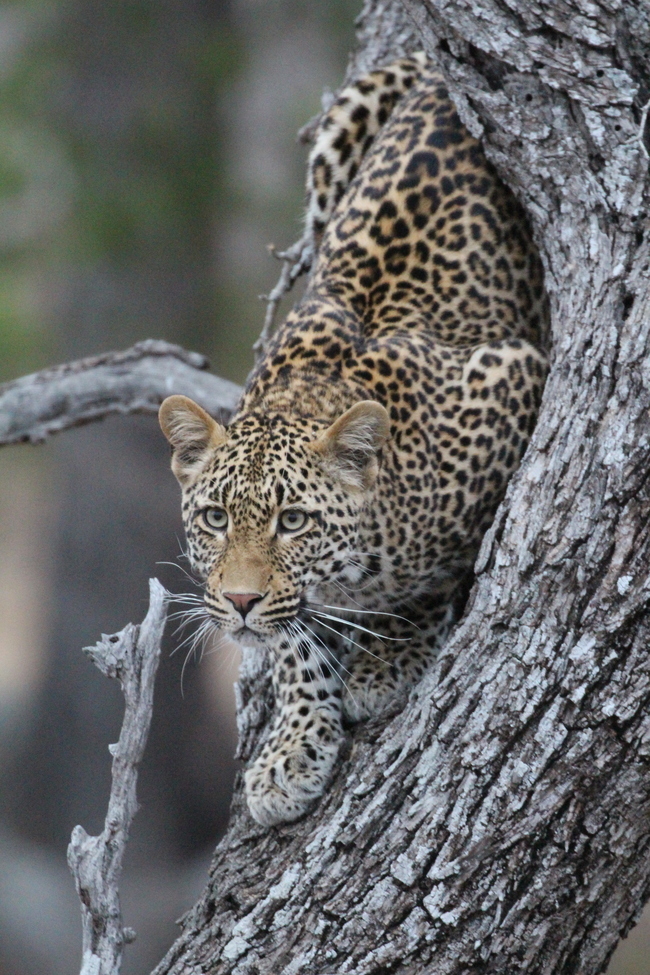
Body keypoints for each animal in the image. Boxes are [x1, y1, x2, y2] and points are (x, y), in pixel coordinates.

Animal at [159, 53, 549, 827]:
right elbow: (292, 646)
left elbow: (438, 576)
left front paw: (389, 657)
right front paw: (294, 747)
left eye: (293, 521)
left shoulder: (516, 372)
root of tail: (436, 80)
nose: (238, 603)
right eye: (215, 518)